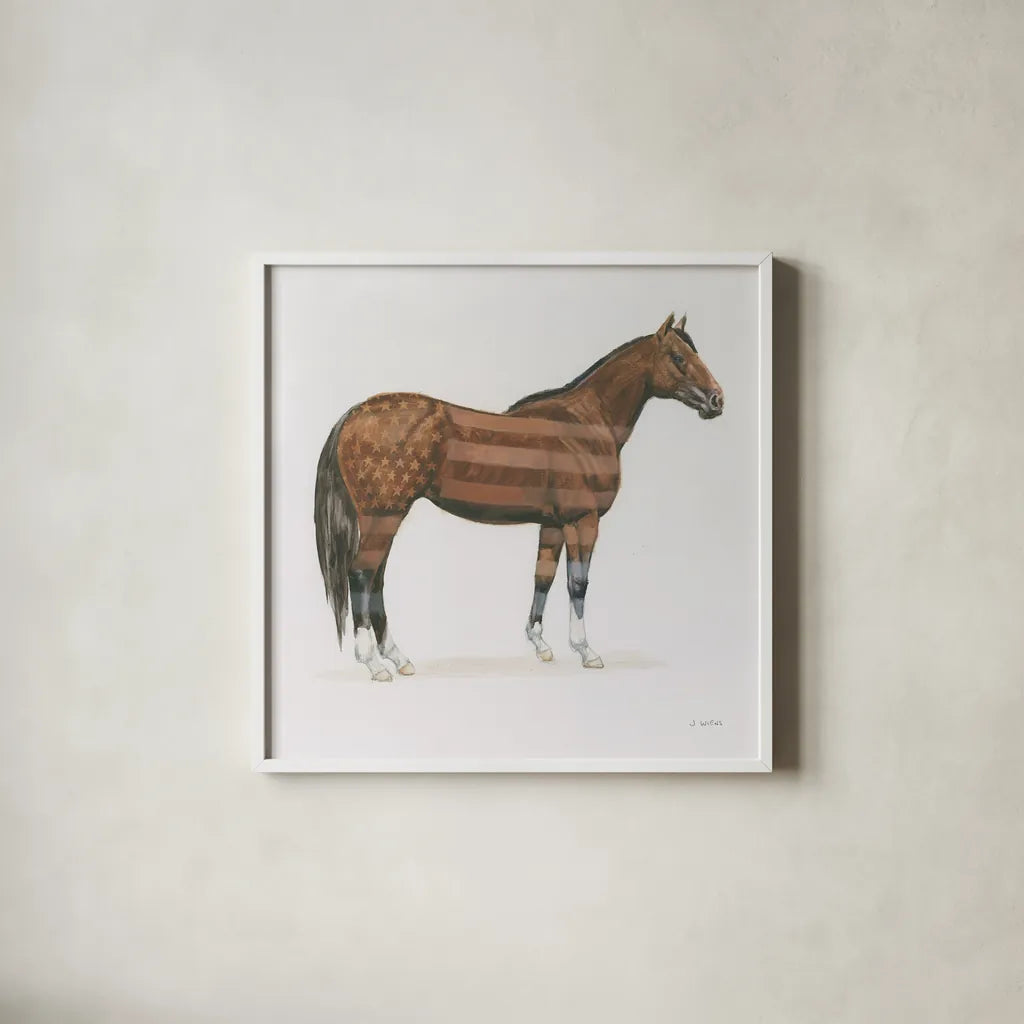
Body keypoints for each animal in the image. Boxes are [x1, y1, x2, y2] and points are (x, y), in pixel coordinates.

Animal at [314, 312, 723, 681]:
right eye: (678, 357)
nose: (717, 400)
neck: (588, 424)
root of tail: (353, 415)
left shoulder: (553, 524)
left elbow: (544, 577)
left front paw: (541, 645)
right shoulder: (582, 519)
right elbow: (578, 583)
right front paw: (586, 651)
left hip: (384, 518)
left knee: (376, 579)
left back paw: (399, 659)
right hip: (384, 515)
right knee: (362, 575)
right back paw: (374, 664)